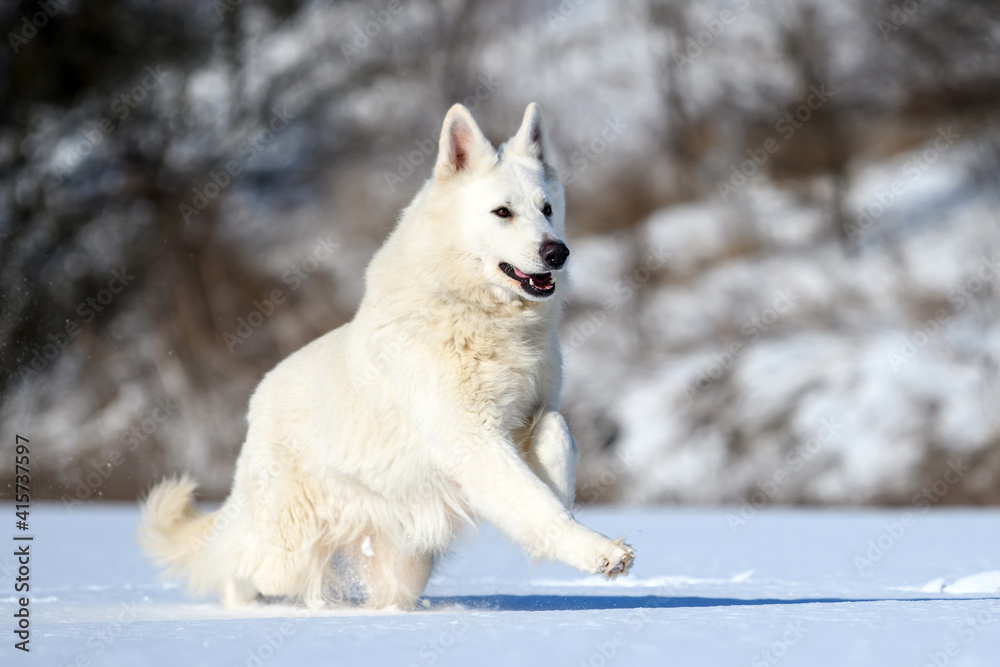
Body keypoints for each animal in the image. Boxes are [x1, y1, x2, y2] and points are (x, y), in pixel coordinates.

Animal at [140, 103, 632, 612]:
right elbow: (535, 505)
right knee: (234, 563)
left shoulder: (531, 413)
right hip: (286, 550)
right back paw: (243, 607)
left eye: (547, 209)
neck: (474, 312)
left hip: (405, 563)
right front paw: (596, 549)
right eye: (503, 212)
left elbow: (558, 435)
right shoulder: (474, 441)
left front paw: (562, 490)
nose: (558, 252)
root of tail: (256, 407)